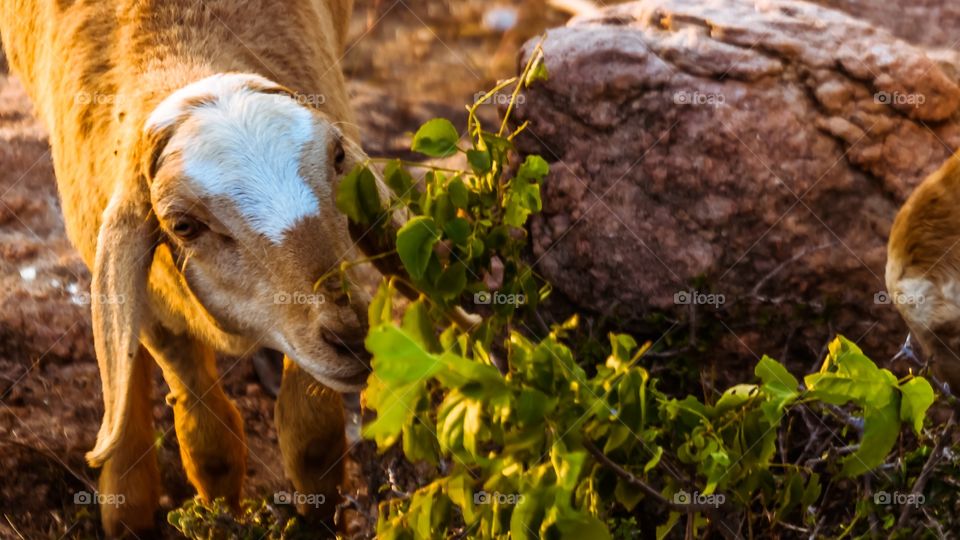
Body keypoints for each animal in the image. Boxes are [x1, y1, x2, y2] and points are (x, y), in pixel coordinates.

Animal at [0, 0, 380, 532]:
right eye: (183, 226)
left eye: (339, 156)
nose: (351, 334)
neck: (181, 45)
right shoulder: (158, 313)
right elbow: (209, 442)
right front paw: (223, 520)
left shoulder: (305, 336)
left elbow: (312, 434)